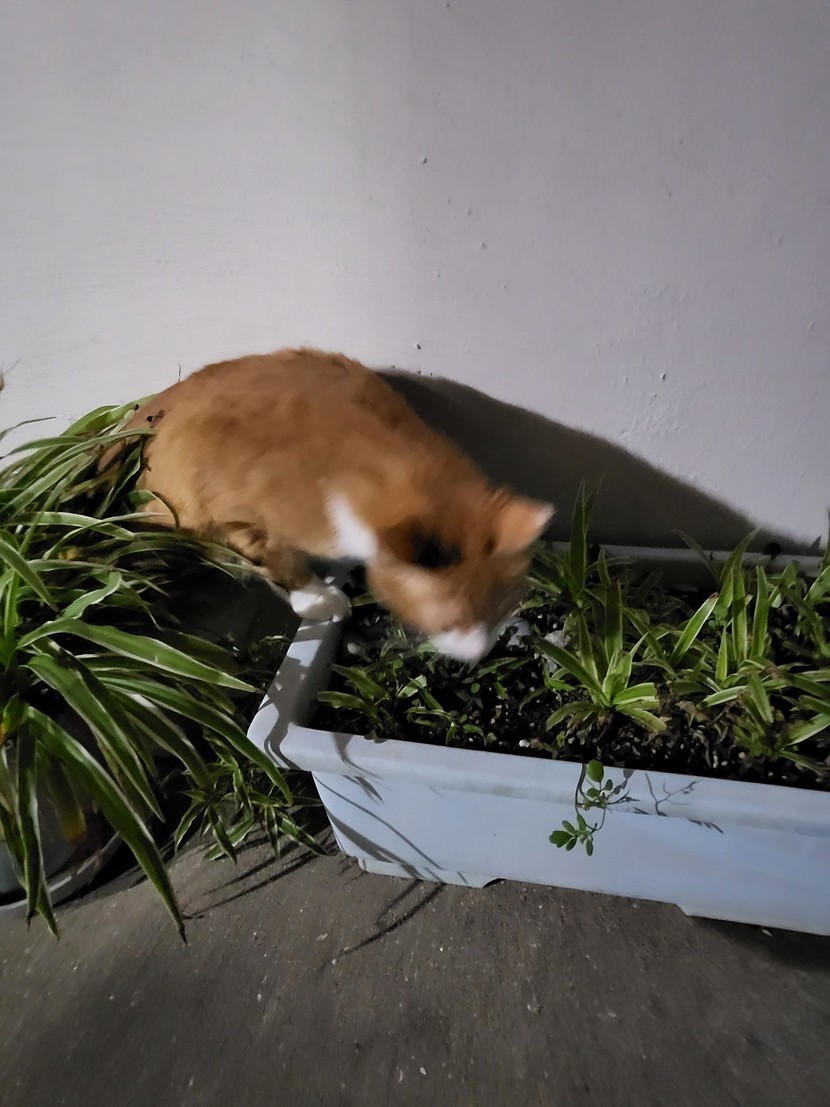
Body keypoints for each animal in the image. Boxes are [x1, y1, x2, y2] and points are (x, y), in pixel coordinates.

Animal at [109, 348, 553, 661]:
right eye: (451, 621)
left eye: (502, 609)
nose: (480, 654)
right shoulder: (236, 517)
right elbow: (277, 562)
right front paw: (320, 600)